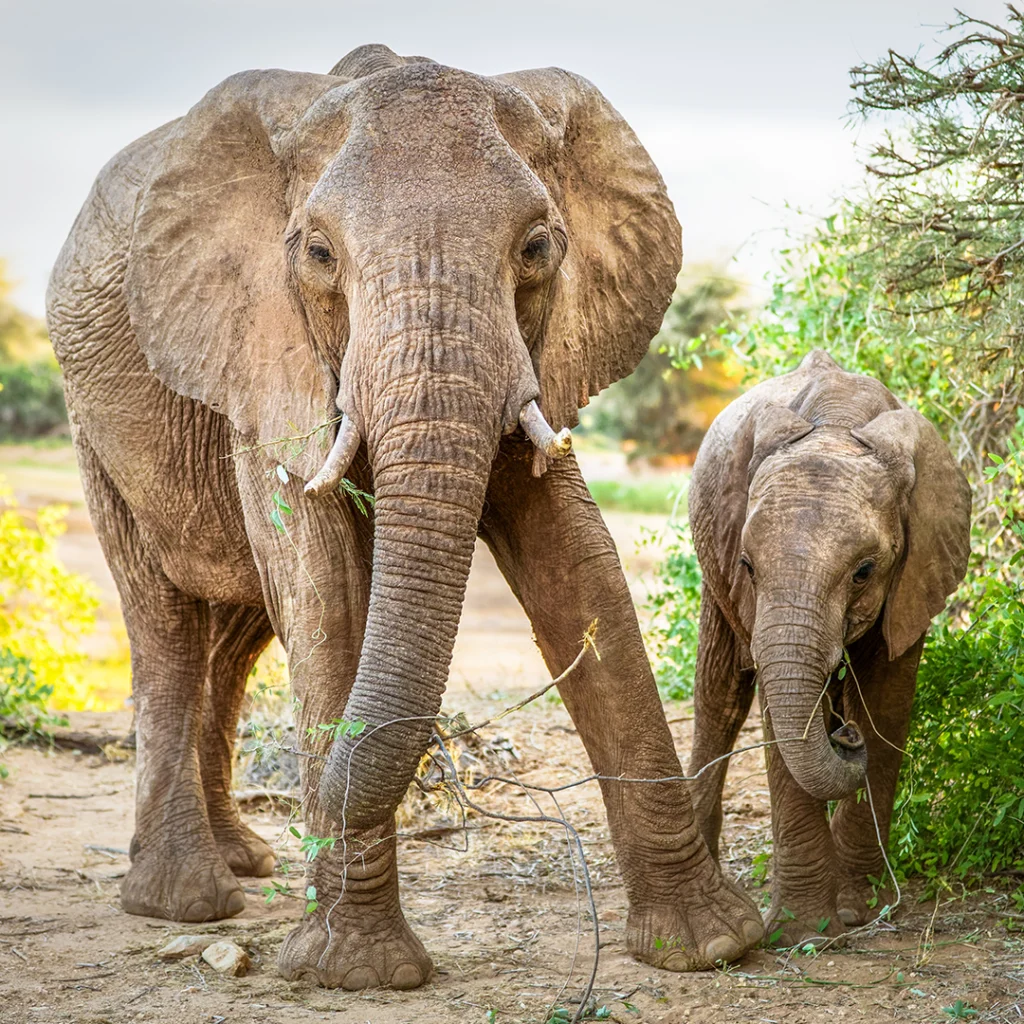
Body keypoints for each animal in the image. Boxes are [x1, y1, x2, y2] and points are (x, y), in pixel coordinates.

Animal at [51, 44, 765, 987]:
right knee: (165, 620)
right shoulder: (265, 354)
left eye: (537, 248)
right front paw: (353, 972)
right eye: (318, 254)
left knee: (236, 637)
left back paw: (246, 861)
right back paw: (187, 901)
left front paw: (711, 945)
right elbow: (325, 591)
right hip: (95, 428)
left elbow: (579, 567)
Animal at [688, 348, 966, 946]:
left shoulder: (915, 573)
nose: (843, 737)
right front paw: (803, 933)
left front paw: (859, 910)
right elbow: (773, 711)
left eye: (864, 572)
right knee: (718, 696)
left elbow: (886, 703)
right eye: (748, 565)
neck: (838, 426)